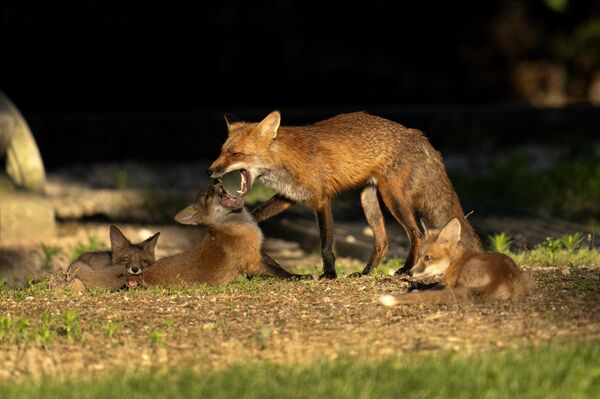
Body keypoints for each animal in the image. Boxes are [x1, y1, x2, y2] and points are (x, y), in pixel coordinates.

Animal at [132, 181, 308, 288]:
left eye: (210, 186)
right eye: (206, 197)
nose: (216, 181)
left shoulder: (257, 253)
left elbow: (275, 264)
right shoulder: (251, 262)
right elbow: (279, 272)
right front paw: (299, 277)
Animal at [209, 109, 480, 278]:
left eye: (234, 154)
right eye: (222, 151)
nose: (211, 171)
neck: (284, 161)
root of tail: (420, 136)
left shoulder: (321, 200)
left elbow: (326, 244)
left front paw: (329, 274)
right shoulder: (289, 197)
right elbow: (256, 213)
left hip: (392, 196)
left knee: (418, 233)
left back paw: (405, 269)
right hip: (368, 199)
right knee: (382, 241)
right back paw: (366, 273)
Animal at [378, 219, 532, 306]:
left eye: (427, 258)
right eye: (419, 257)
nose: (409, 273)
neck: (457, 260)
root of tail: (498, 277)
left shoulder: (449, 283)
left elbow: (435, 288)